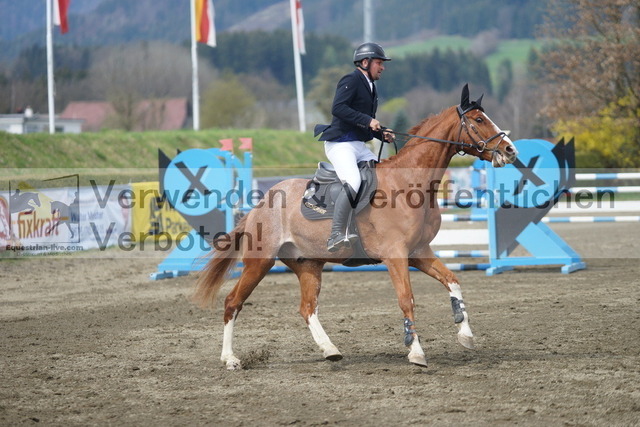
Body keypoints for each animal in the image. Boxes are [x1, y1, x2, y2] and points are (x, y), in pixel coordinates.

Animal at [193, 84, 518, 369]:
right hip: (259, 262)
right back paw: (230, 359)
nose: (510, 150)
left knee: (307, 308)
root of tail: (261, 203)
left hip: (308, 264)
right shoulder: (396, 255)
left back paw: (330, 350)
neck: (410, 183)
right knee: (233, 302)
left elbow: (453, 281)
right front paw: (416, 352)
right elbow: (406, 299)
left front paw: (465, 334)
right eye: (479, 120)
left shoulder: (418, 252)